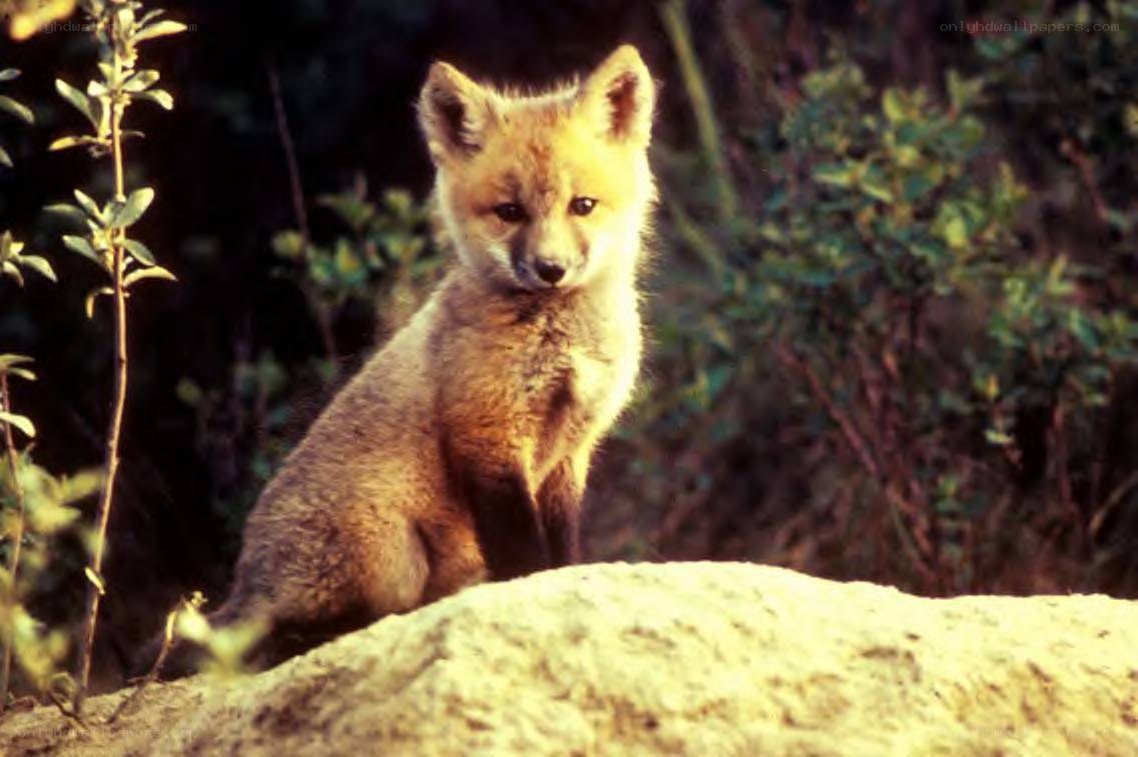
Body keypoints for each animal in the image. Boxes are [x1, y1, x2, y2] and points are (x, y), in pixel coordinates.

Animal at [140, 44, 657, 677]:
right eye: (509, 212)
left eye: (582, 206)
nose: (551, 269)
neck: (557, 343)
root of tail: (247, 580)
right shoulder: (487, 437)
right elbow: (523, 556)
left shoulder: (571, 449)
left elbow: (563, 549)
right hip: (390, 555)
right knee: (287, 637)